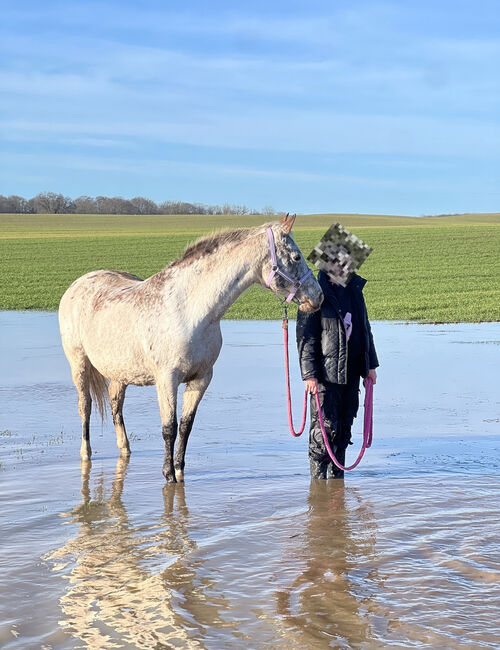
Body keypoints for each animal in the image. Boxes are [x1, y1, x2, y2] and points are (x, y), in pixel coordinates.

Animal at [59, 215, 324, 478]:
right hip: (79, 364)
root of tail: (78, 283)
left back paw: (125, 449)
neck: (188, 311)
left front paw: (179, 470)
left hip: (119, 372)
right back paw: (86, 453)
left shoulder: (201, 378)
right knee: (85, 406)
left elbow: (186, 426)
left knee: (116, 404)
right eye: (296, 256)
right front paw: (168, 474)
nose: (318, 297)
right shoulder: (167, 379)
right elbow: (169, 427)